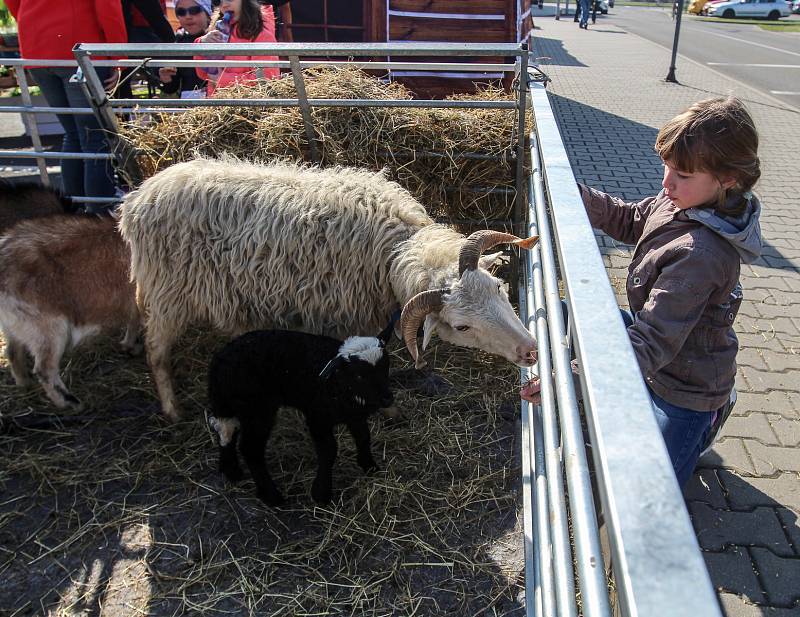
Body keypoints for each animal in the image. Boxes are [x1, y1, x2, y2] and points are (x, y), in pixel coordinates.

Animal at [0, 214, 139, 406]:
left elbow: (134, 321)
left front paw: (129, 345)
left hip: (16, 325)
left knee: (13, 352)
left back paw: (25, 383)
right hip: (47, 328)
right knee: (44, 368)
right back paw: (68, 402)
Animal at [119, 156, 540, 422]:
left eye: (499, 289)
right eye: (462, 326)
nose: (531, 351)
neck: (391, 250)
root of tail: (137, 198)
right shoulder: (348, 318)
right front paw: (388, 410)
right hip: (168, 292)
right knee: (156, 350)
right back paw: (172, 409)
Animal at [206, 322, 394, 506]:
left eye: (386, 367)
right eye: (359, 376)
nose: (387, 399)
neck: (336, 384)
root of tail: (219, 364)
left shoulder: (354, 415)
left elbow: (364, 437)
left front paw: (369, 466)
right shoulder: (317, 417)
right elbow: (329, 450)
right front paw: (321, 493)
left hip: (233, 406)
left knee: (226, 431)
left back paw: (231, 470)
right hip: (258, 410)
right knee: (250, 448)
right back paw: (271, 496)